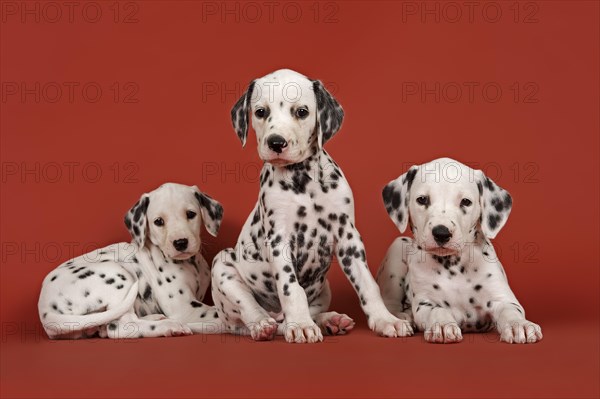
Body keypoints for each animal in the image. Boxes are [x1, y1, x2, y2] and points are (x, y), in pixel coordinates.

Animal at [38, 183, 225, 340]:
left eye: (191, 214)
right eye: (159, 221)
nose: (180, 243)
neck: (191, 264)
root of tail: (45, 309)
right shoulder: (185, 307)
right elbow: (217, 311)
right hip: (117, 273)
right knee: (120, 327)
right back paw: (168, 326)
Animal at [211, 69, 412, 344]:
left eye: (302, 112)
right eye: (261, 112)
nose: (276, 143)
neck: (303, 181)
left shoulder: (348, 236)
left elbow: (367, 284)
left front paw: (386, 320)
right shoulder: (279, 239)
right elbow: (291, 288)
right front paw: (301, 325)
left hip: (324, 288)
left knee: (309, 311)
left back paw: (330, 321)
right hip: (222, 266)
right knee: (250, 313)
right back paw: (265, 325)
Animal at [380, 158, 544, 346]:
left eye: (465, 201)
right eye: (422, 199)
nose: (441, 233)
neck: (453, 265)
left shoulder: (502, 298)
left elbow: (510, 310)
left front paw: (520, 324)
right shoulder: (425, 303)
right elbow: (437, 310)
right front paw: (442, 324)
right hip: (397, 248)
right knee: (391, 302)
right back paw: (399, 319)